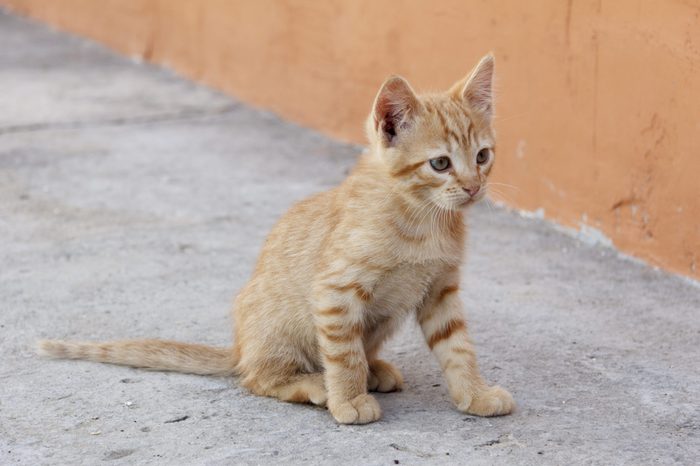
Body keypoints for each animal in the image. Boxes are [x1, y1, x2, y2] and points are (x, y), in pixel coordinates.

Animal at [41, 53, 516, 422]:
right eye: (440, 164)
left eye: (482, 156)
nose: (474, 187)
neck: (423, 217)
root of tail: (240, 347)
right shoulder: (335, 291)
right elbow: (343, 355)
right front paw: (348, 399)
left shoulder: (440, 289)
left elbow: (457, 347)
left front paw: (475, 393)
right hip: (282, 327)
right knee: (256, 378)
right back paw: (315, 384)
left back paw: (375, 368)